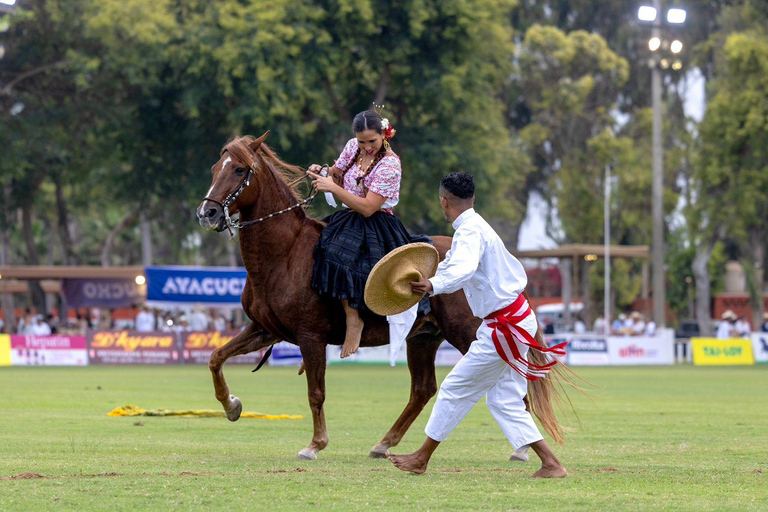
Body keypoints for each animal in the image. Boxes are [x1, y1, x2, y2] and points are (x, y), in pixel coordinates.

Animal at [195, 132, 568, 460]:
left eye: (239, 169)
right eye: (214, 167)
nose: (206, 213)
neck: (285, 254)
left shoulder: (310, 336)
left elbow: (316, 392)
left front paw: (315, 444)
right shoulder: (265, 329)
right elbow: (215, 358)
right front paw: (231, 406)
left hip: (469, 334)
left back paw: (521, 449)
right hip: (423, 338)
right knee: (423, 390)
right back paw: (384, 444)